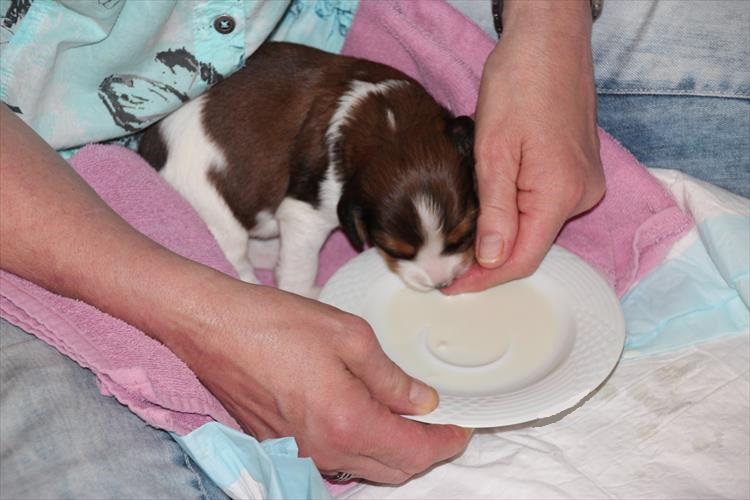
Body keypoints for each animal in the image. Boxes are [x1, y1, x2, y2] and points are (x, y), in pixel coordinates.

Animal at [139, 42, 478, 298]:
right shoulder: (306, 212)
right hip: (214, 214)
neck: (392, 126)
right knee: (236, 261)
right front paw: (307, 293)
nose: (441, 283)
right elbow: (300, 267)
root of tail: (148, 149)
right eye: (394, 250)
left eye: (462, 236)